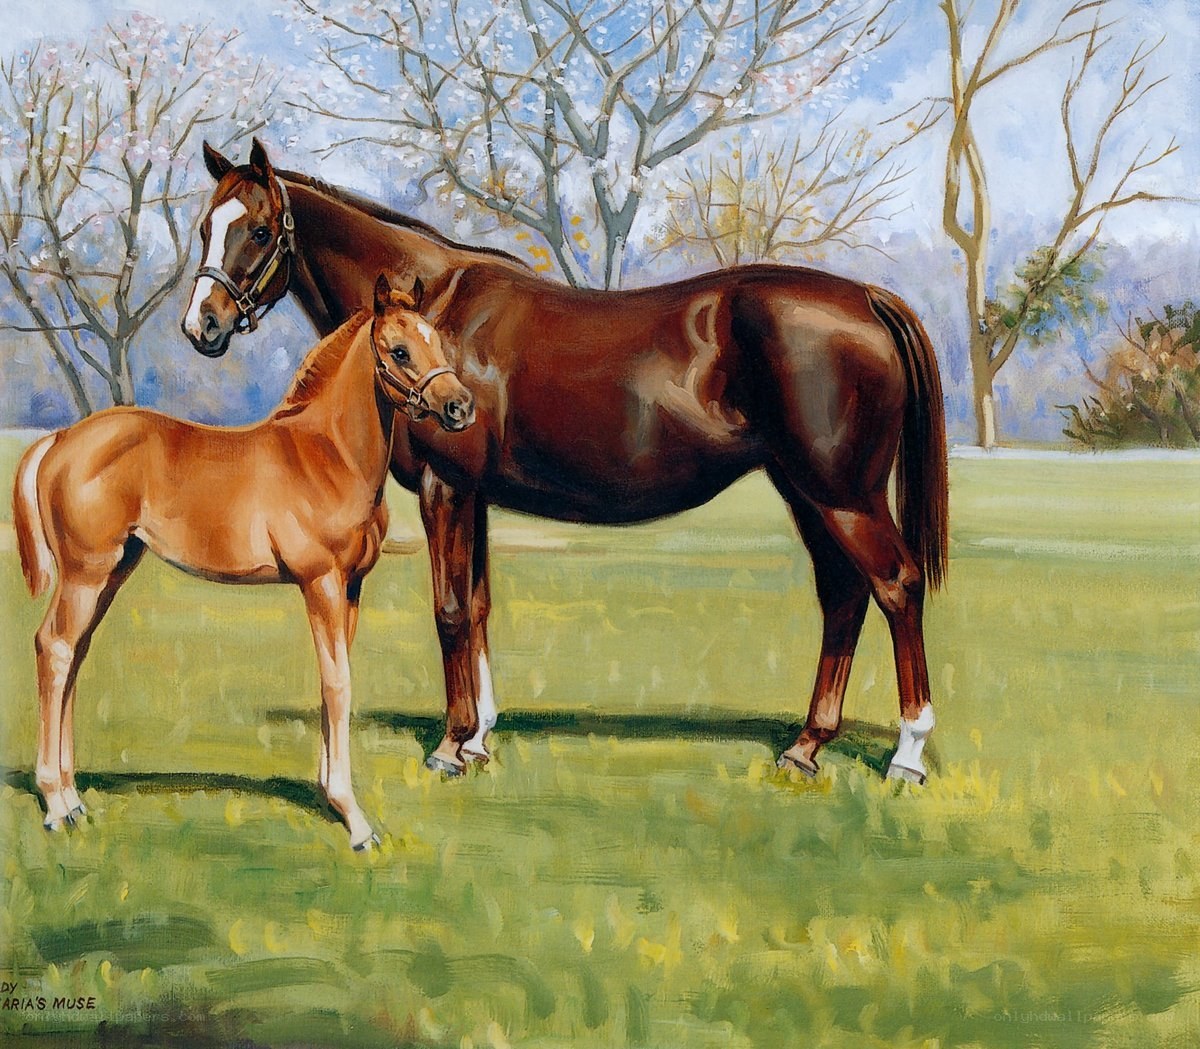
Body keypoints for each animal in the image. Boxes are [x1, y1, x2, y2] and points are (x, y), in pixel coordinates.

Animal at [14, 274, 475, 849]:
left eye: (438, 344)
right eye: (399, 351)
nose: (460, 407)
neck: (327, 454)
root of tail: (60, 440)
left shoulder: (350, 588)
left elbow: (333, 680)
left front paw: (331, 796)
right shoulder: (320, 582)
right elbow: (338, 684)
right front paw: (355, 820)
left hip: (113, 571)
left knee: (75, 652)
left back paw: (74, 799)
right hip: (84, 573)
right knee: (54, 648)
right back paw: (55, 803)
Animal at [183, 139, 948, 785]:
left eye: (258, 230)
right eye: (203, 227)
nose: (202, 325)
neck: (435, 311)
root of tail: (867, 299)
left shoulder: (443, 486)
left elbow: (450, 610)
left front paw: (449, 746)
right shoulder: (475, 494)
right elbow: (481, 606)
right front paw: (480, 738)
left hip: (842, 494)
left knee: (896, 585)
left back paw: (907, 753)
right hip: (806, 491)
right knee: (843, 595)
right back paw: (806, 746)